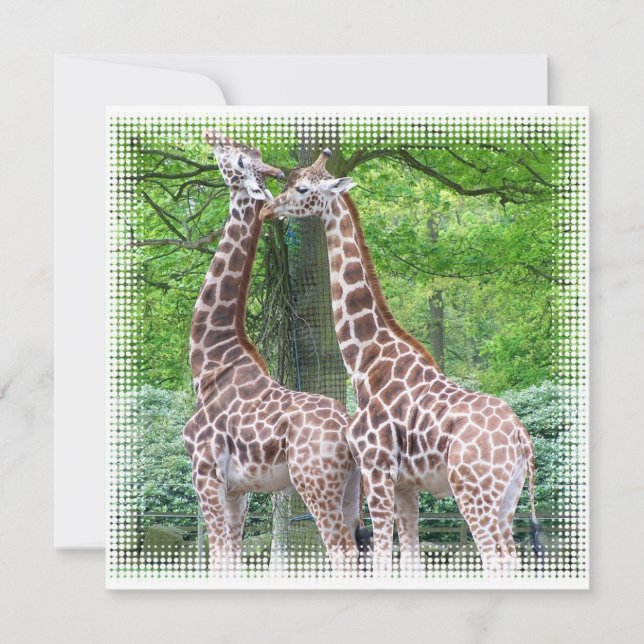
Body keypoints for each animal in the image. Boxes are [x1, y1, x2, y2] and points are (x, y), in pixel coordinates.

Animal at [183, 133, 366, 575]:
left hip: (315, 484)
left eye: (237, 158)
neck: (210, 360)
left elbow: (218, 557)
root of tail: (349, 428)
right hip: (352, 491)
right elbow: (231, 558)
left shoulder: (205, 474)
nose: (210, 136)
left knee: (341, 550)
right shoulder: (238, 489)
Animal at [260, 150, 543, 575]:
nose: (267, 209)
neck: (365, 362)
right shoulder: (406, 484)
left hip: (474, 491)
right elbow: (410, 558)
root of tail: (521, 437)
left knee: (496, 557)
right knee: (510, 557)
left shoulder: (377, 469)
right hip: (507, 497)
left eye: (303, 188)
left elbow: (380, 557)